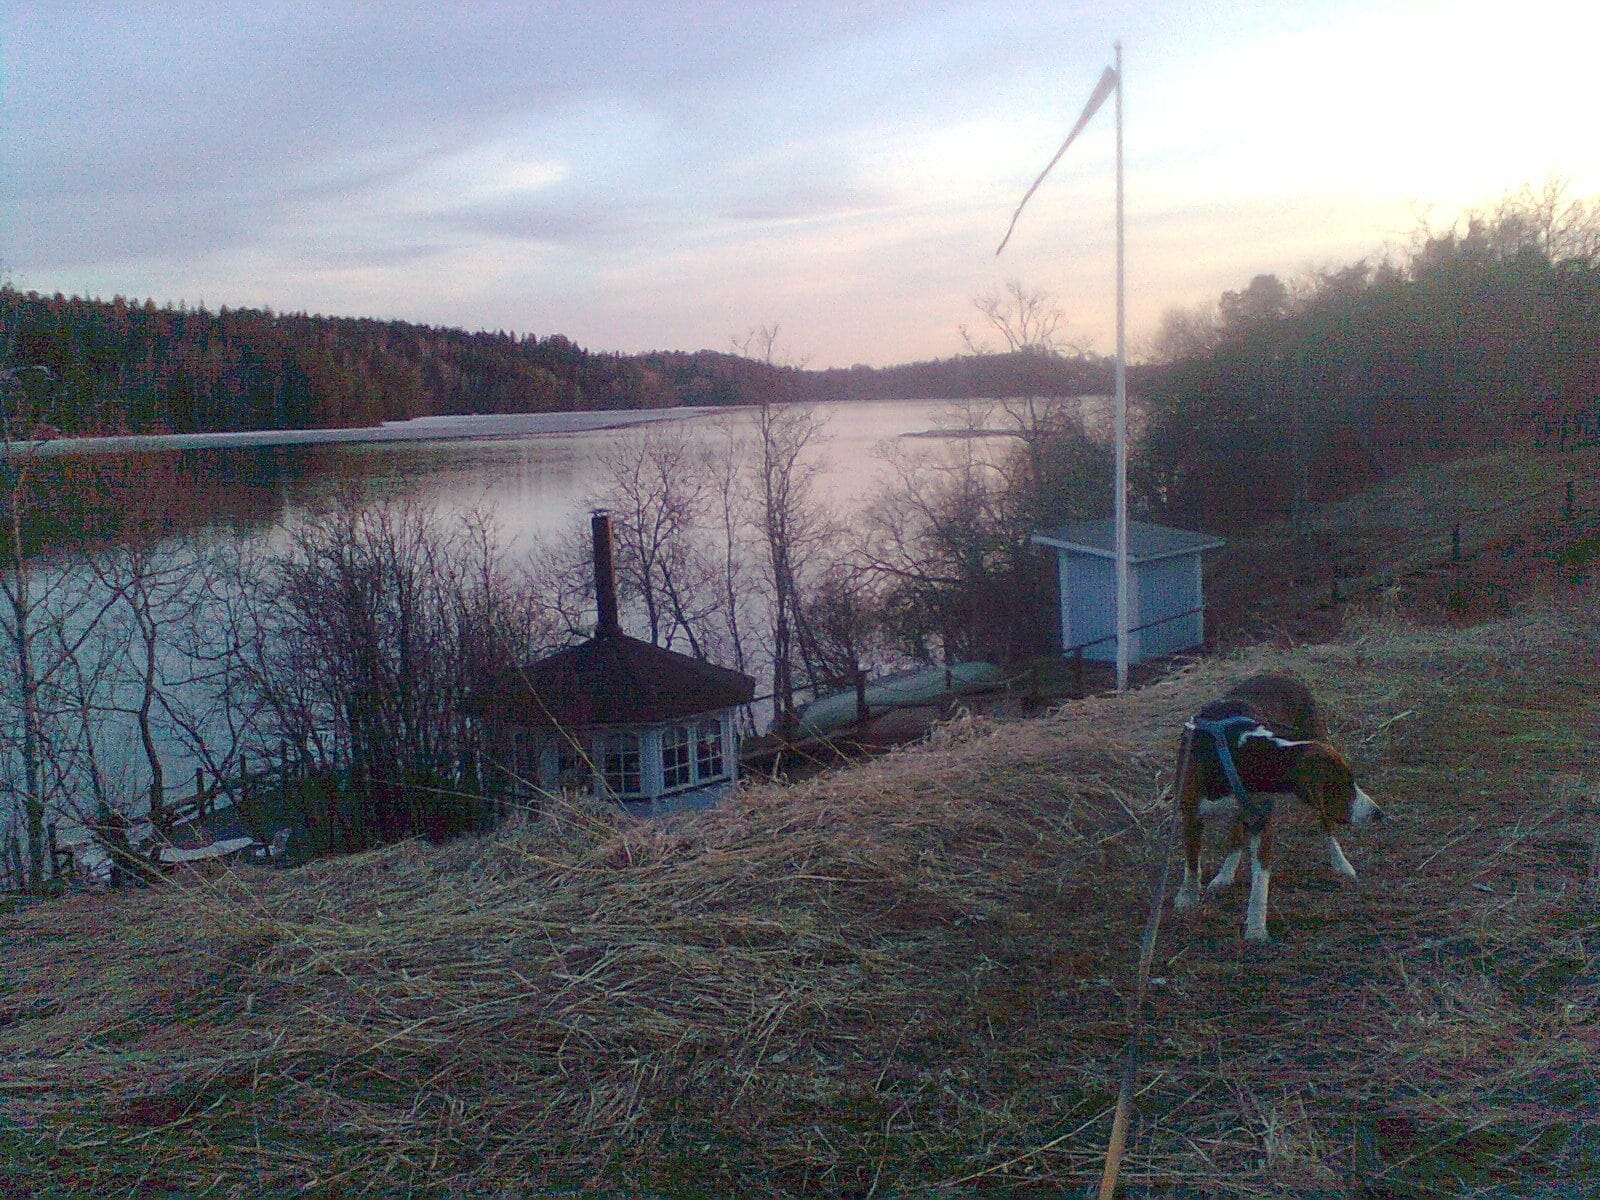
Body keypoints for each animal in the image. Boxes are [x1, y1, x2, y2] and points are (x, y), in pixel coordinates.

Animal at [1172, 673, 1383, 942]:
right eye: (1343, 784)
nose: (1378, 814)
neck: (1243, 755)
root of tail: (1282, 675)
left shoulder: (1262, 820)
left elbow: (1260, 882)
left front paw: (1255, 928)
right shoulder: (1191, 813)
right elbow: (1191, 862)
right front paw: (1187, 896)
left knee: (1326, 827)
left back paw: (1341, 864)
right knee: (1236, 834)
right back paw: (1224, 875)